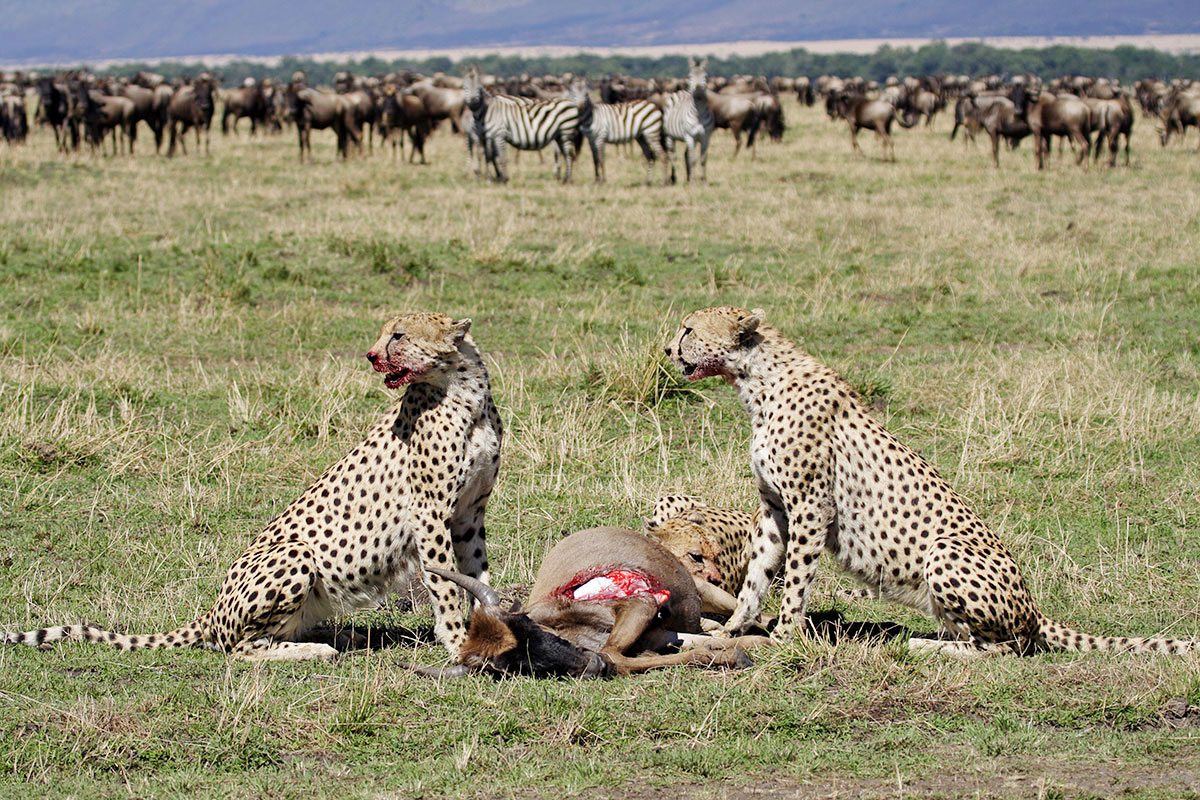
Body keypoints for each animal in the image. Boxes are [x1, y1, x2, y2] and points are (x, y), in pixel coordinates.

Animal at [4, 311, 501, 662]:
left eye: (398, 335)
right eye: (384, 335)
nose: (371, 355)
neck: (463, 391)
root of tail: (212, 609)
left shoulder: (469, 513)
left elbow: (476, 574)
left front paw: (494, 630)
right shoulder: (428, 511)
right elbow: (445, 584)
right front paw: (459, 643)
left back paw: (340, 634)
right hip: (296, 554)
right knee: (239, 648)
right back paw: (316, 650)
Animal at [662, 307, 1195, 657]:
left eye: (689, 329)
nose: (668, 348)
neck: (755, 380)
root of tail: (1034, 608)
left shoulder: (811, 506)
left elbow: (794, 579)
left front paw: (785, 636)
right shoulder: (777, 509)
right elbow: (758, 575)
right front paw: (733, 629)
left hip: (946, 553)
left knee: (1006, 648)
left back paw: (921, 645)